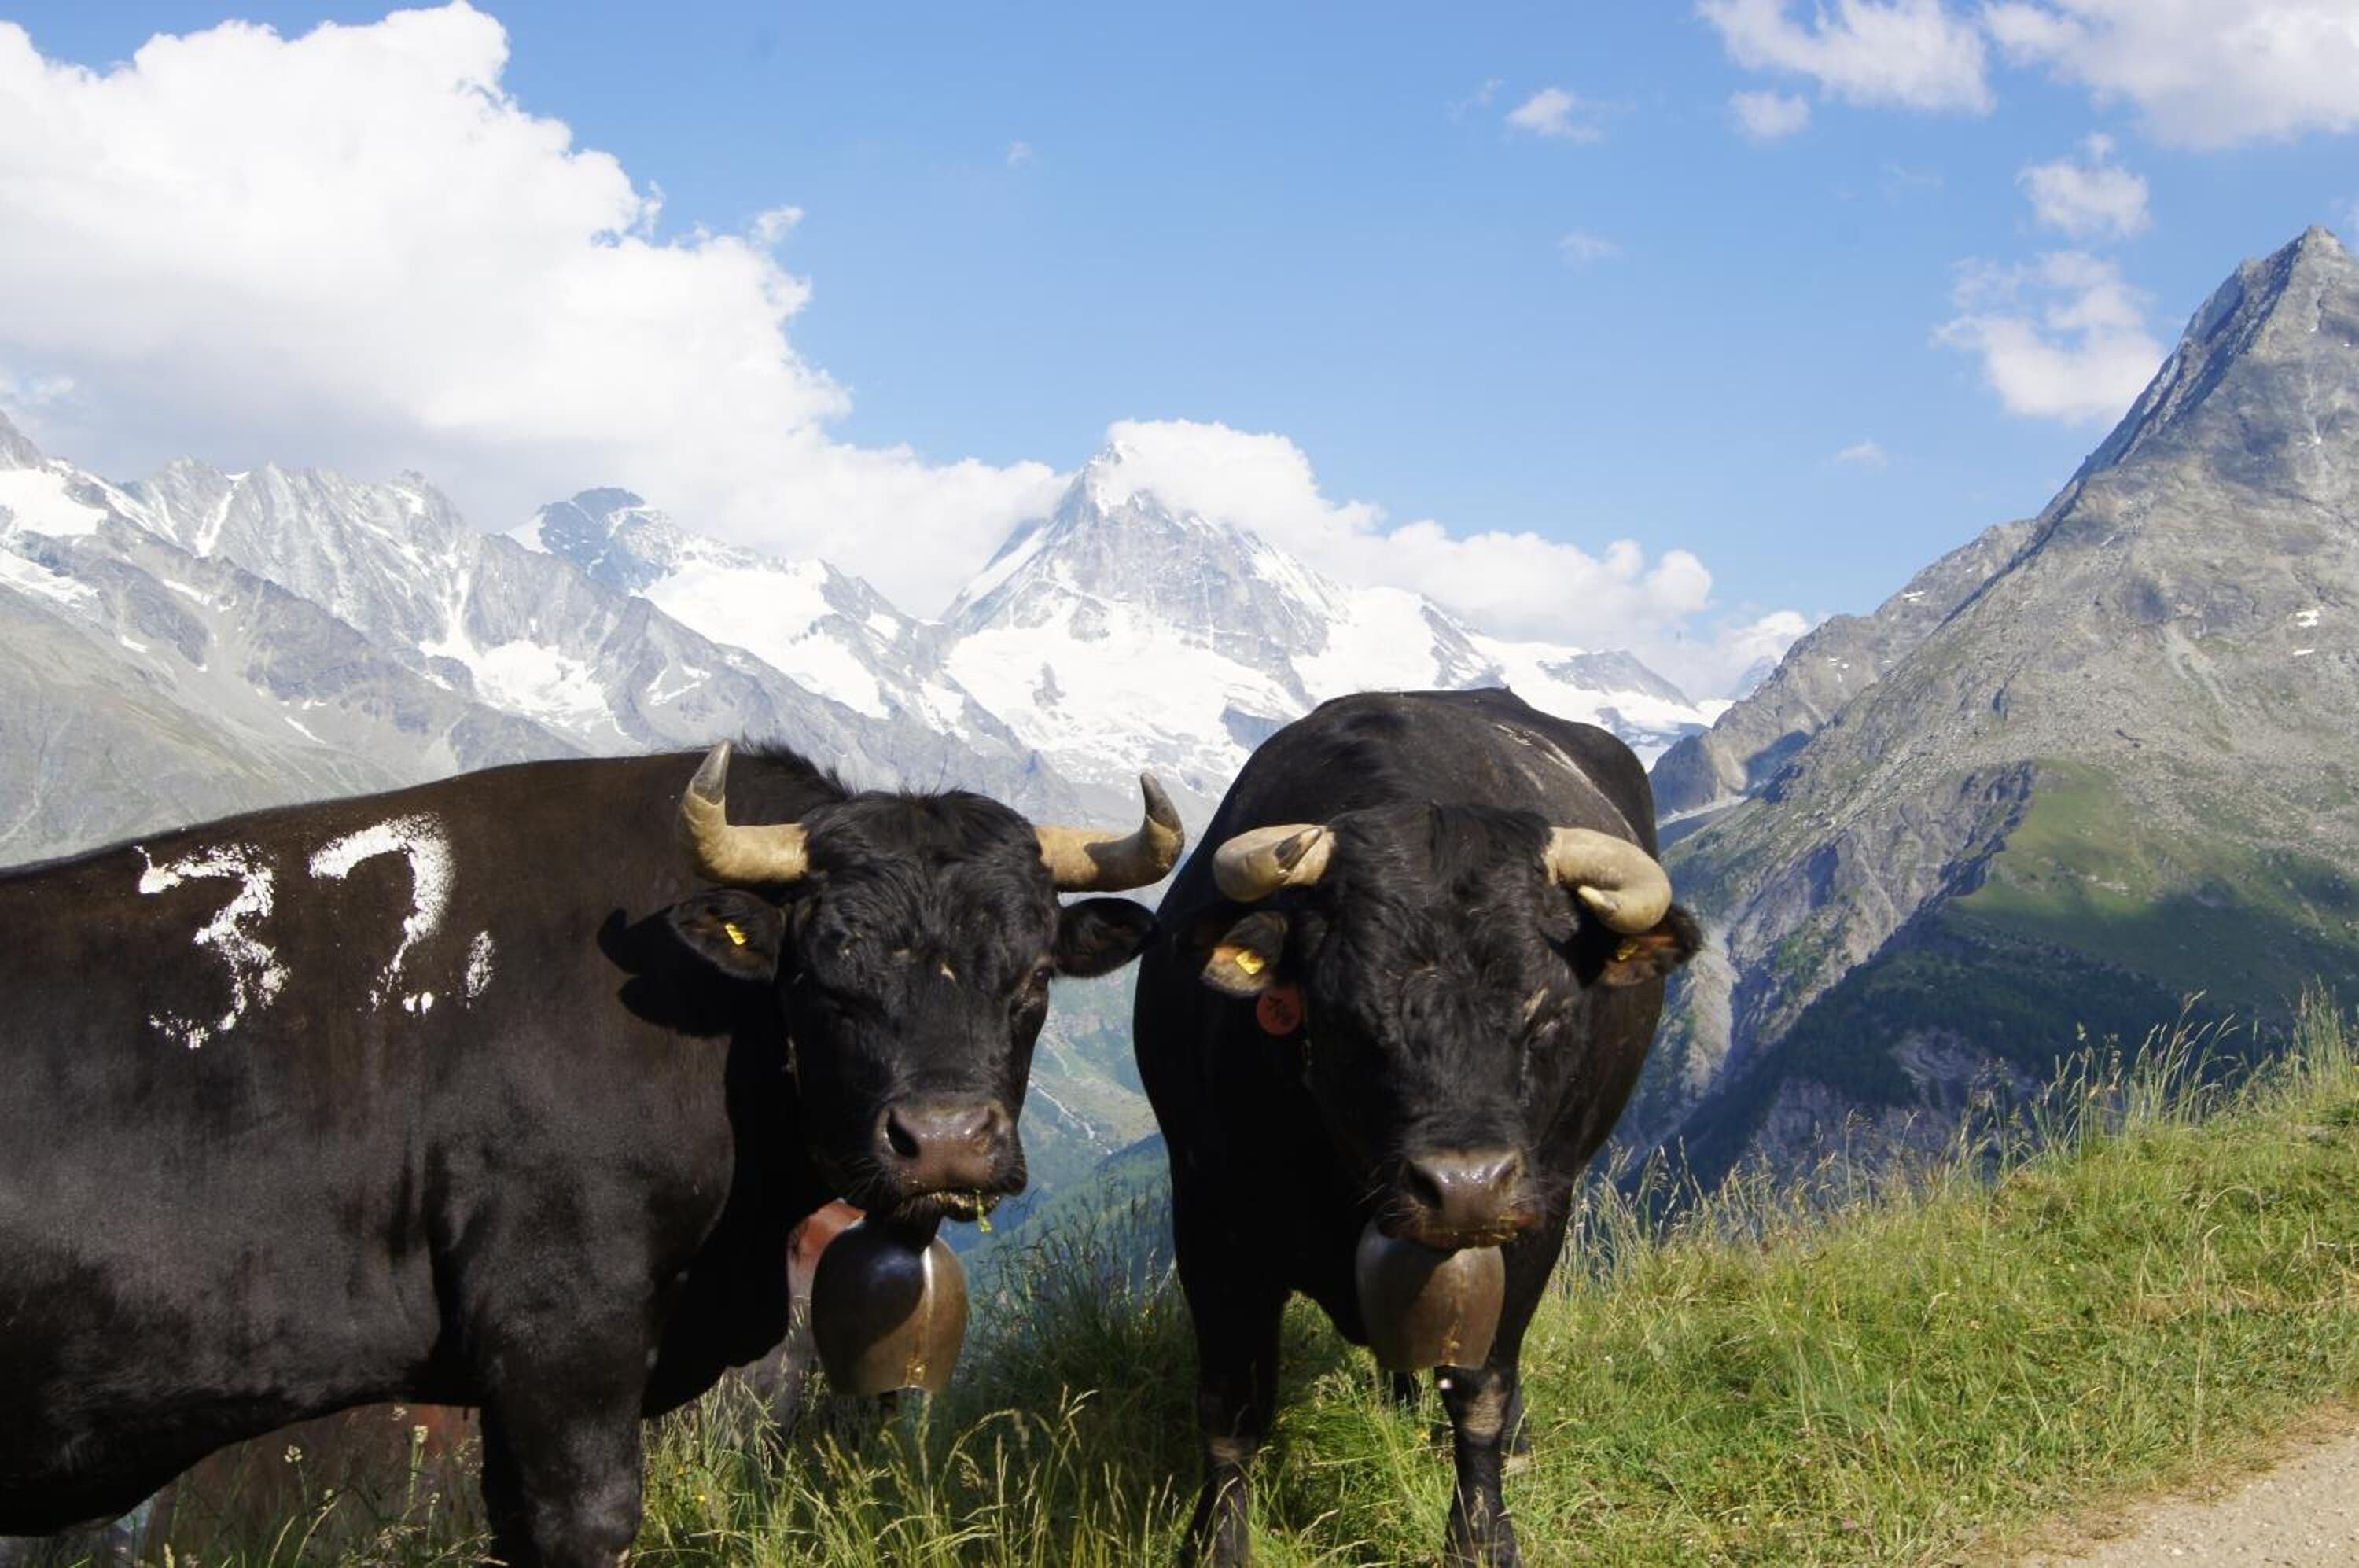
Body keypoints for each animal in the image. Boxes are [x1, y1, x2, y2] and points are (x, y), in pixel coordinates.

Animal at [1132, 689, 1698, 1566]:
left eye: (1548, 1012)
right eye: (1344, 1016)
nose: (1465, 1187)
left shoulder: (1538, 1211)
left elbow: (1482, 1386)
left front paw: (1482, 1533)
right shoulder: (1208, 1213)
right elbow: (1229, 1408)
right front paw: (1215, 1543)